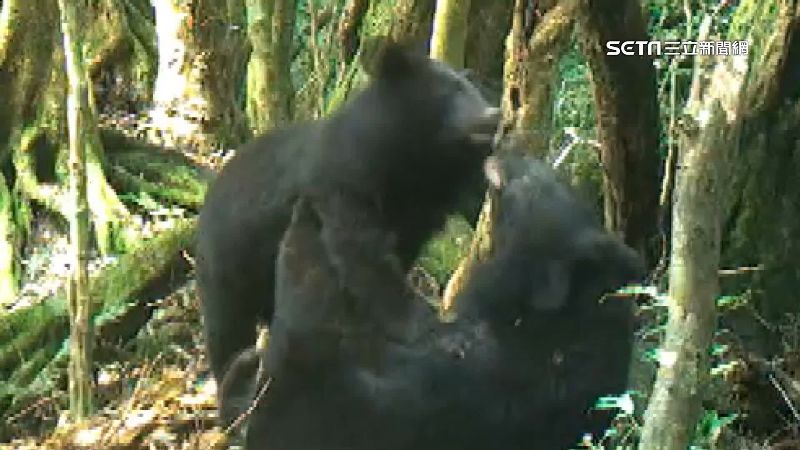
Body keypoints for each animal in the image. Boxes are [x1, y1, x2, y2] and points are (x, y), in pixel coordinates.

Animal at [195, 38, 501, 382]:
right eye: (450, 90)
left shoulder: (437, 188)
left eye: (475, 90)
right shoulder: (343, 183)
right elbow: (363, 257)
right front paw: (443, 333)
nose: (493, 116)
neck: (412, 159)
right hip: (227, 265)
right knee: (226, 329)